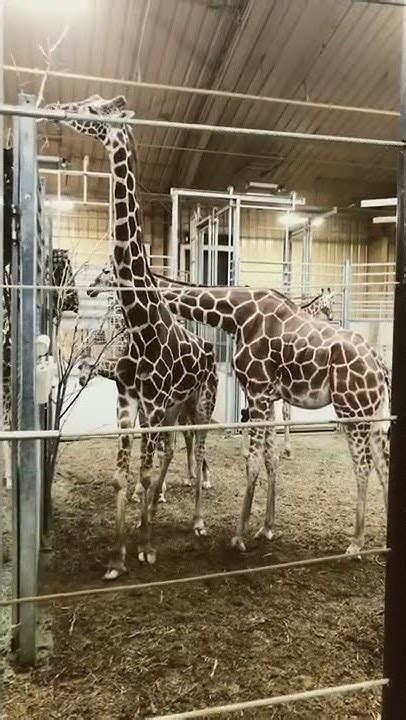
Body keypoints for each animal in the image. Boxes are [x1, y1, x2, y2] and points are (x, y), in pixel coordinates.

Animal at [46, 95, 219, 580]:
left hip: (200, 402)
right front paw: (117, 555)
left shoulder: (155, 403)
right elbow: (123, 474)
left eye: (94, 109)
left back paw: (197, 521)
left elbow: (141, 472)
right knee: (171, 450)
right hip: (177, 408)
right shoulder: (129, 401)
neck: (142, 325)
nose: (58, 108)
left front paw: (146, 548)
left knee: (199, 449)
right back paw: (158, 510)